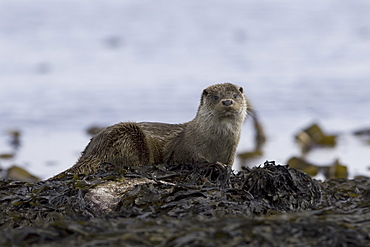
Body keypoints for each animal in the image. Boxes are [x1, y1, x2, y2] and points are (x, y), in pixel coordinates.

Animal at [49, 83, 246, 179]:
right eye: (215, 97)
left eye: (235, 95)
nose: (227, 101)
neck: (216, 143)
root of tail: (90, 151)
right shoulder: (186, 147)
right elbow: (191, 159)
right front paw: (214, 166)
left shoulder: (231, 153)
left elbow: (228, 164)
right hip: (128, 135)